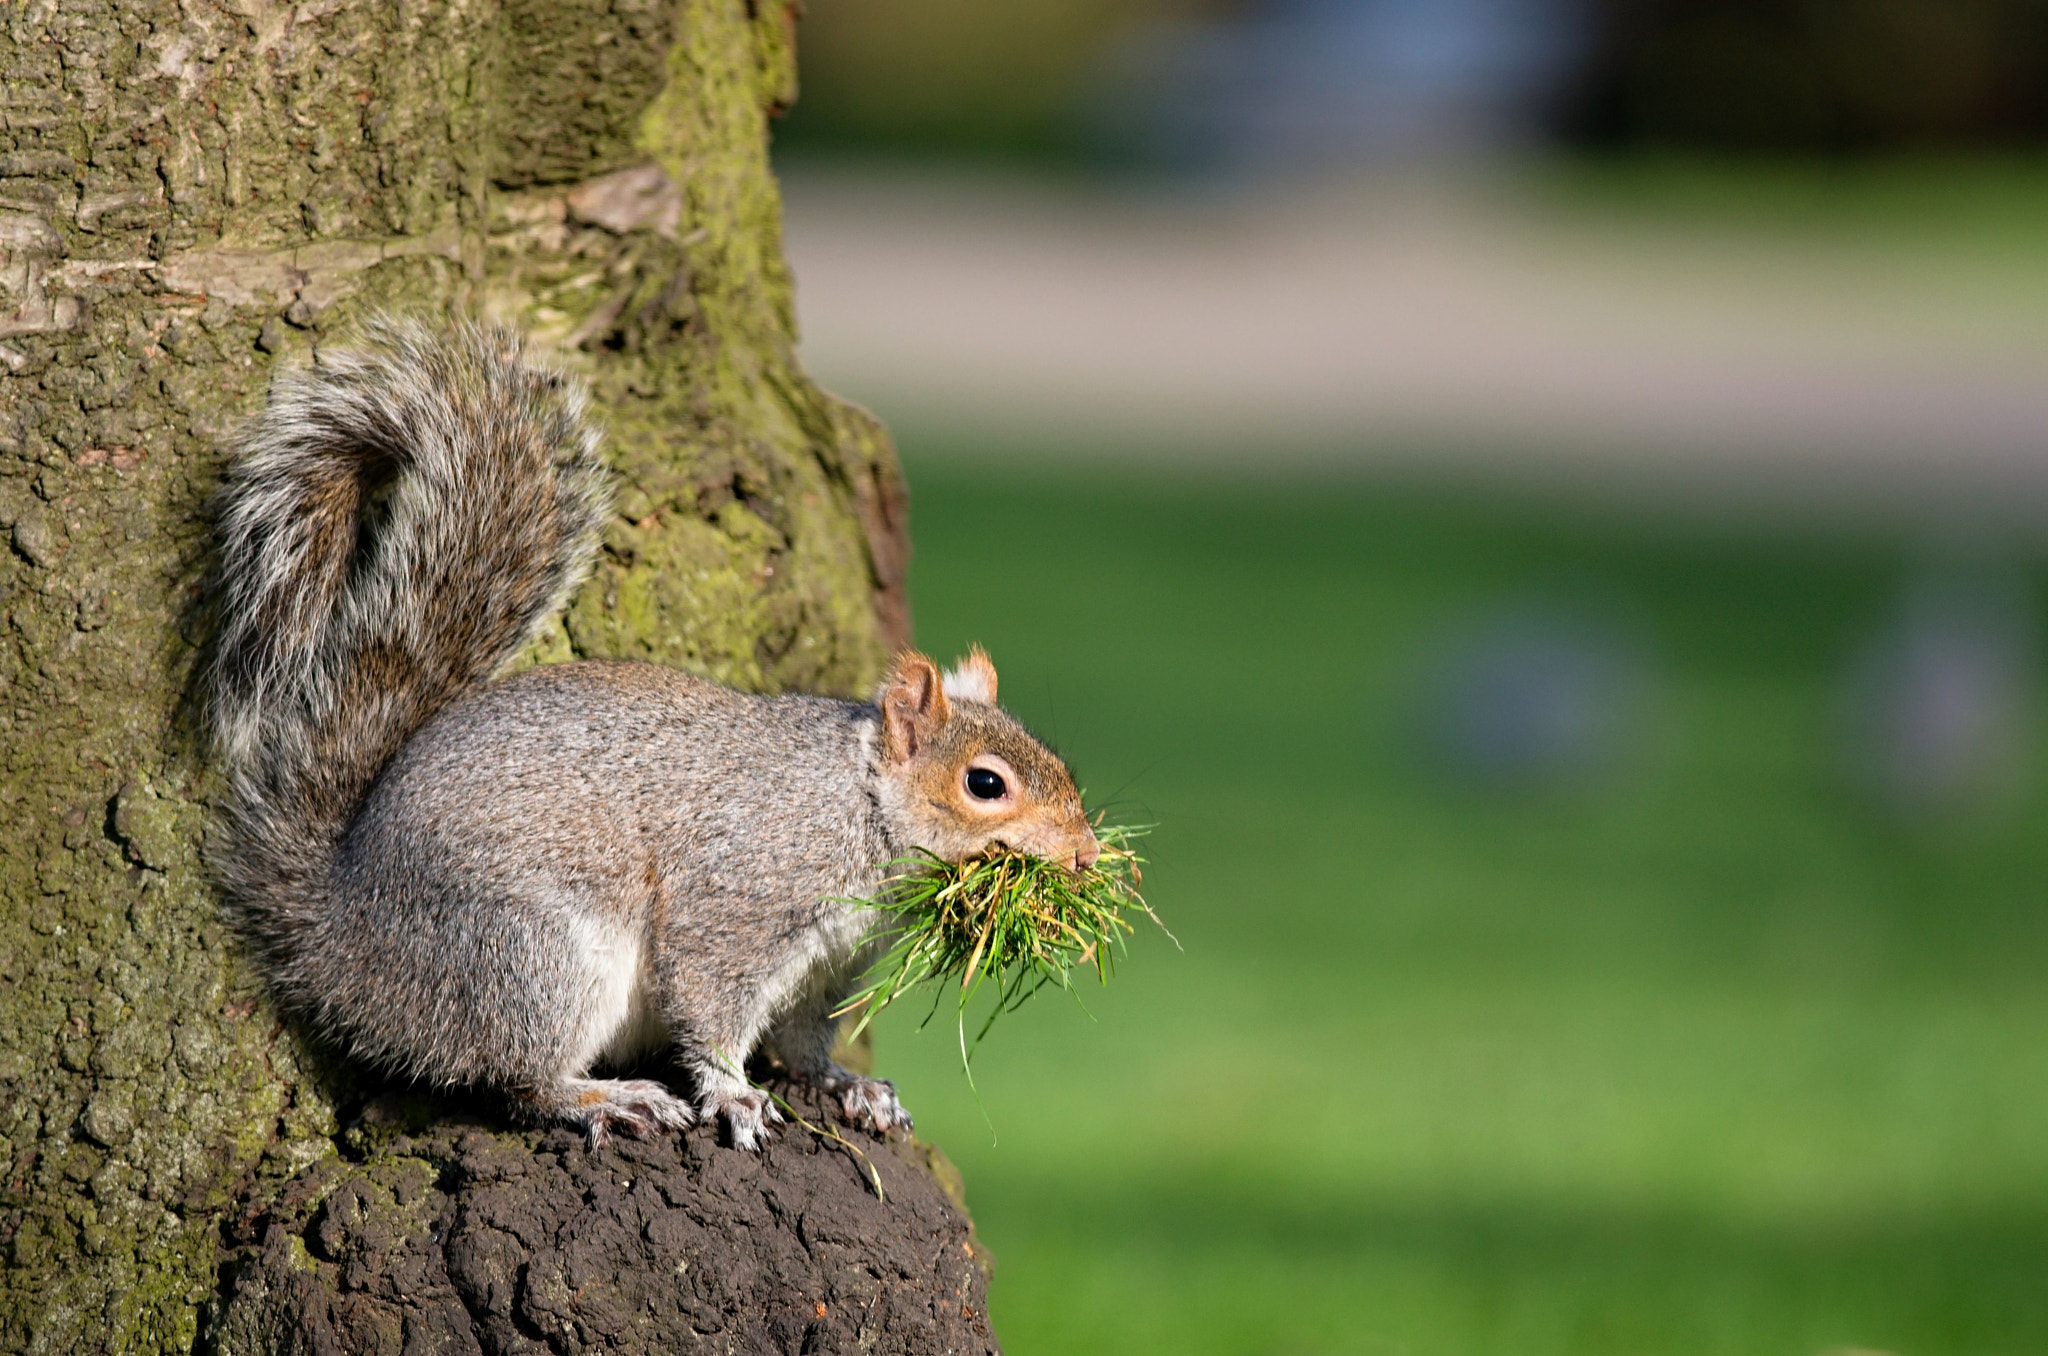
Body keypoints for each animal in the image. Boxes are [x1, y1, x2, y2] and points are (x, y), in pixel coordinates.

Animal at [203, 323, 1105, 1155]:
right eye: (985, 784)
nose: (1087, 857)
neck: (859, 801)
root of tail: (339, 934)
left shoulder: (829, 964)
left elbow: (805, 1040)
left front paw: (847, 1085)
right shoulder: (741, 900)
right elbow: (708, 1004)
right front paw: (734, 1093)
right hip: (531, 955)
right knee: (515, 1075)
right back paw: (604, 1097)